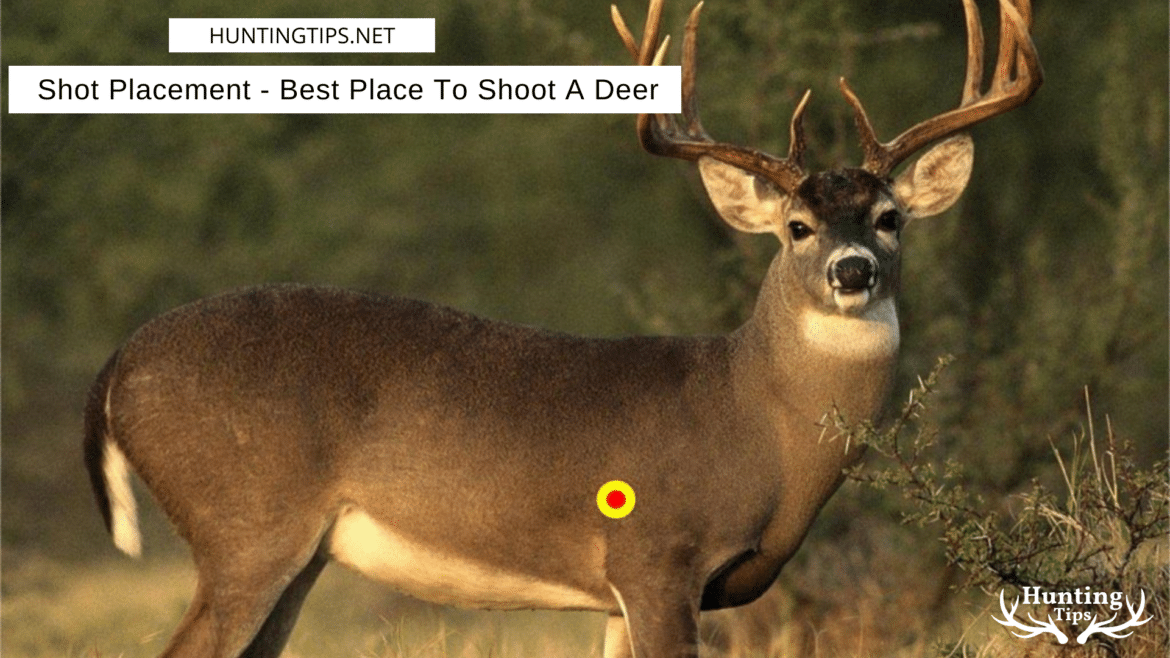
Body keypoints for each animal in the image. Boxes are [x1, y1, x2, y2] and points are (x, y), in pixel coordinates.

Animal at [82, 0, 1041, 656]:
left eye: (890, 217)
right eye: (797, 227)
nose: (853, 271)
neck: (756, 424)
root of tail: (116, 368)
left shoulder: (619, 596)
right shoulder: (656, 556)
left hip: (294, 554)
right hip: (244, 525)